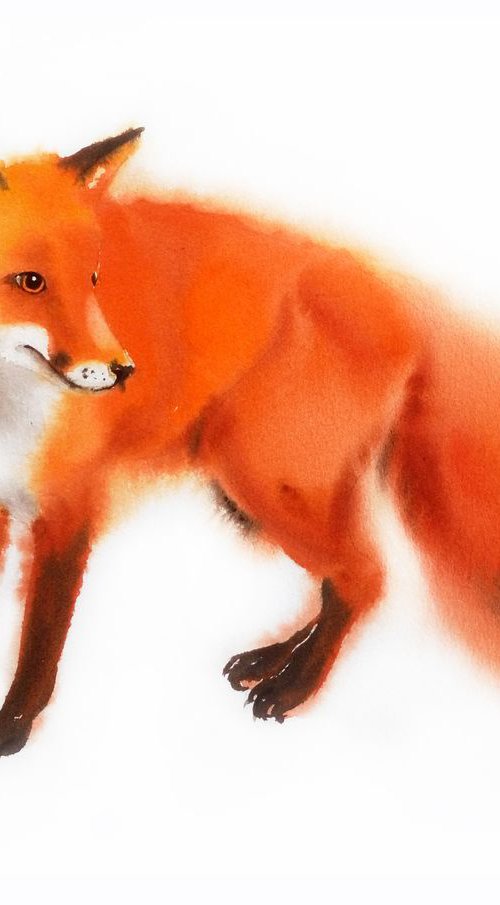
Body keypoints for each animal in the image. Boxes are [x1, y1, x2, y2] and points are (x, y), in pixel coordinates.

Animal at [0, 127, 499, 756]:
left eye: (93, 278)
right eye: (30, 282)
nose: (123, 372)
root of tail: (404, 305)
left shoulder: (68, 507)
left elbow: (39, 641)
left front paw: (13, 726)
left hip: (262, 478)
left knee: (363, 576)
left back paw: (293, 687)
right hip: (275, 488)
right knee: (348, 578)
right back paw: (272, 660)